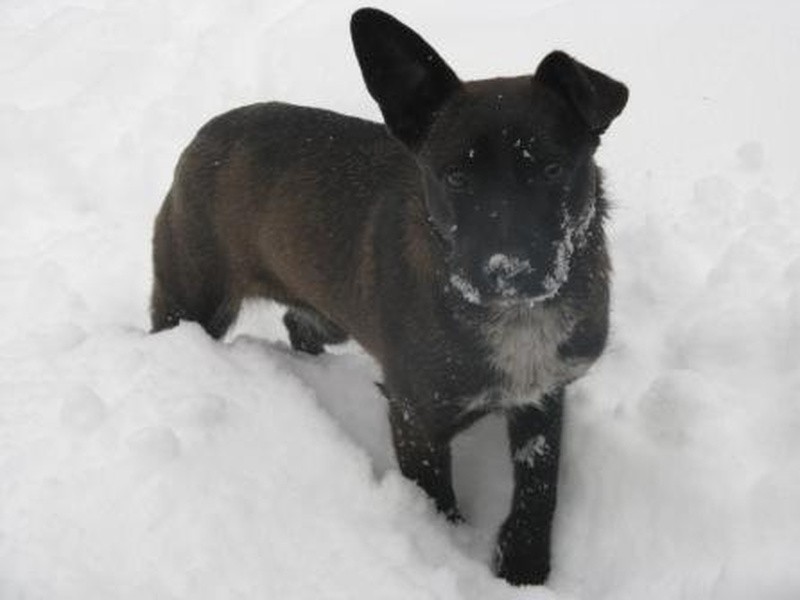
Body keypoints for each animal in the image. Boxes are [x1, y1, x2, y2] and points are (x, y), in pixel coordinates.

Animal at [148, 7, 624, 584]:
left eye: (553, 168)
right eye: (456, 176)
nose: (508, 271)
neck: (515, 318)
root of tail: (204, 133)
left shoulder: (545, 394)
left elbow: (540, 489)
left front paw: (524, 566)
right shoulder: (416, 417)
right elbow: (438, 503)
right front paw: (450, 551)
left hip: (325, 313)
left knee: (297, 325)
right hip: (190, 301)